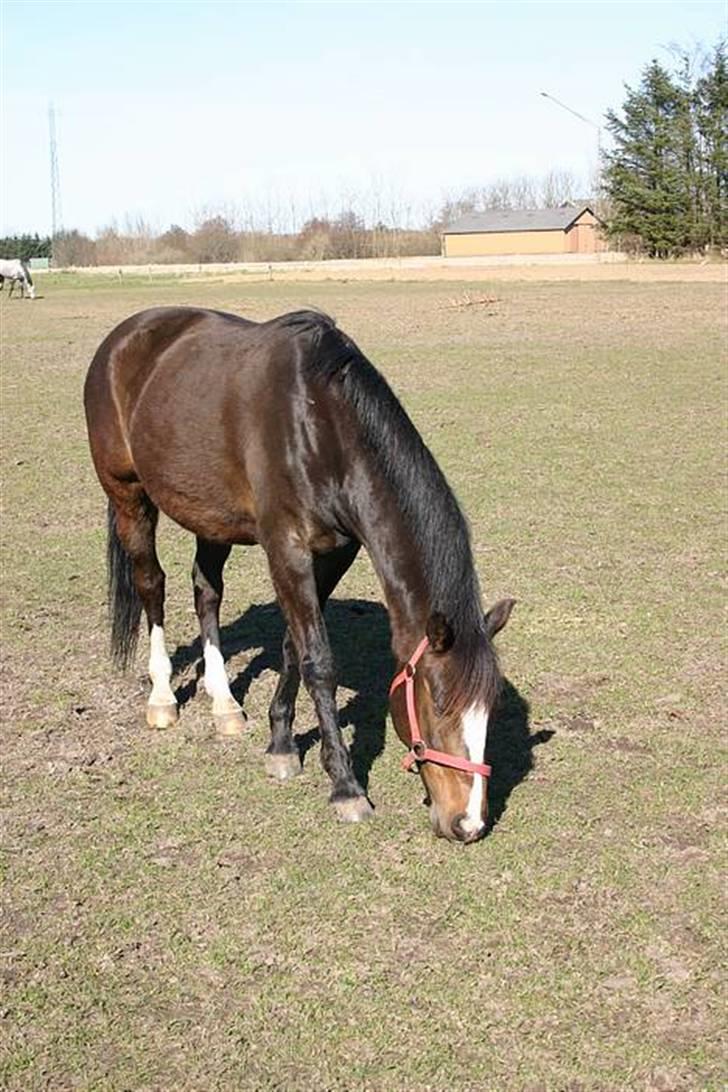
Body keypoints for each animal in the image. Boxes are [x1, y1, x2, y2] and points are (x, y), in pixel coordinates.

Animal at [84, 307, 514, 843]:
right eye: (437, 702)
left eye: (490, 708)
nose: (469, 822)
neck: (321, 426)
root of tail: (125, 335)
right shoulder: (286, 548)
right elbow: (319, 661)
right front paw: (346, 786)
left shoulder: (335, 552)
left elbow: (294, 646)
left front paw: (281, 744)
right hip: (128, 495)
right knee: (152, 587)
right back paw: (162, 697)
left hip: (211, 515)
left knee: (207, 591)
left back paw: (224, 703)